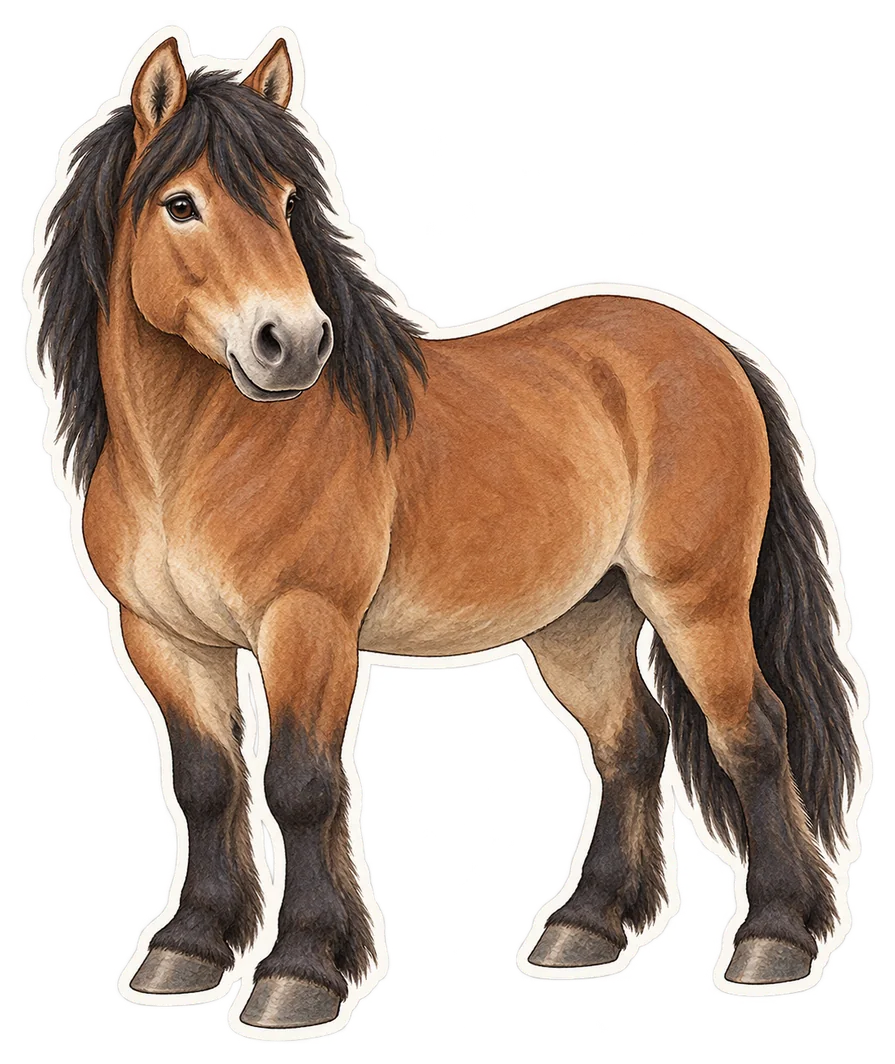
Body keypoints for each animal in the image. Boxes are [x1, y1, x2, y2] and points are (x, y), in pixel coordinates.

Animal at [30, 33, 862, 1028]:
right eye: (180, 204)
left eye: (286, 202)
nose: (292, 344)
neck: (191, 455)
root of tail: (712, 348)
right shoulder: (163, 638)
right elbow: (204, 783)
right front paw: (187, 950)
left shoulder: (305, 627)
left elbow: (299, 786)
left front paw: (299, 973)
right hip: (582, 618)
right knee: (630, 743)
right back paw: (584, 929)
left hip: (696, 601)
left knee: (752, 733)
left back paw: (773, 940)